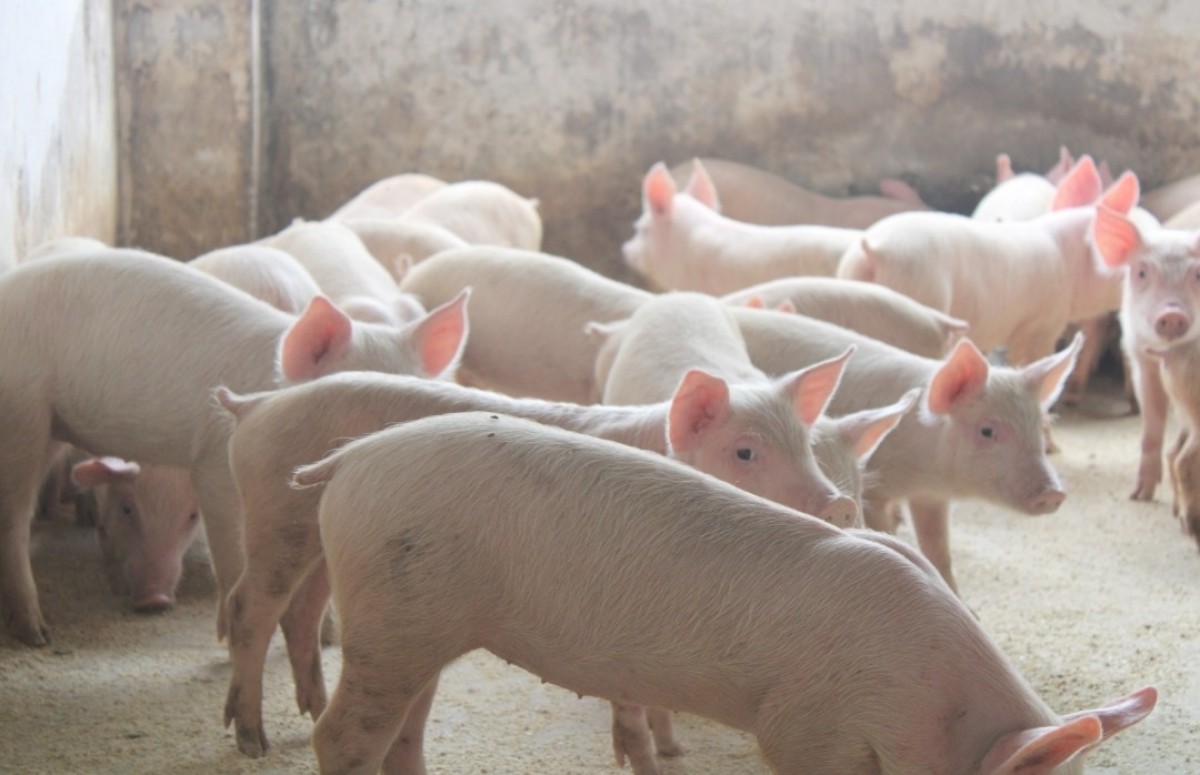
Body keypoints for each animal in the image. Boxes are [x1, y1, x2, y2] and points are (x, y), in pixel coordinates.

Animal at [216, 371, 912, 757]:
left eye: (817, 457)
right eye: (746, 452)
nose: (841, 503)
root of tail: (253, 406)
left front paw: (673, 745)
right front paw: (657, 749)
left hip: (328, 548)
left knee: (304, 611)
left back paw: (305, 707)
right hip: (276, 517)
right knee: (252, 606)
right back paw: (252, 740)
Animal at [295, 411, 1156, 775]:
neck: (933, 704)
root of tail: (349, 459)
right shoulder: (807, 725)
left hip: (419, 617)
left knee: (403, 730)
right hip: (391, 606)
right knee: (343, 734)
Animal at [734, 306, 1080, 591]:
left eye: (1038, 426)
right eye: (987, 431)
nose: (1054, 493)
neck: (922, 468)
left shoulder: (930, 496)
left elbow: (938, 547)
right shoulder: (877, 490)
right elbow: (888, 530)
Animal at [838, 155, 1136, 368]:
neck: (1066, 258)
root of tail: (874, 250)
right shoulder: (1042, 320)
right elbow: (1031, 357)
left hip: (850, 276)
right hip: (922, 289)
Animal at [1091, 206, 1200, 538]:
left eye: (1198, 274)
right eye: (1141, 272)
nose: (1172, 313)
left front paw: (1139, 495)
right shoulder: (1138, 353)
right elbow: (1150, 424)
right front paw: (1139, 496)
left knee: (1177, 452)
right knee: (1182, 456)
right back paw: (1189, 525)